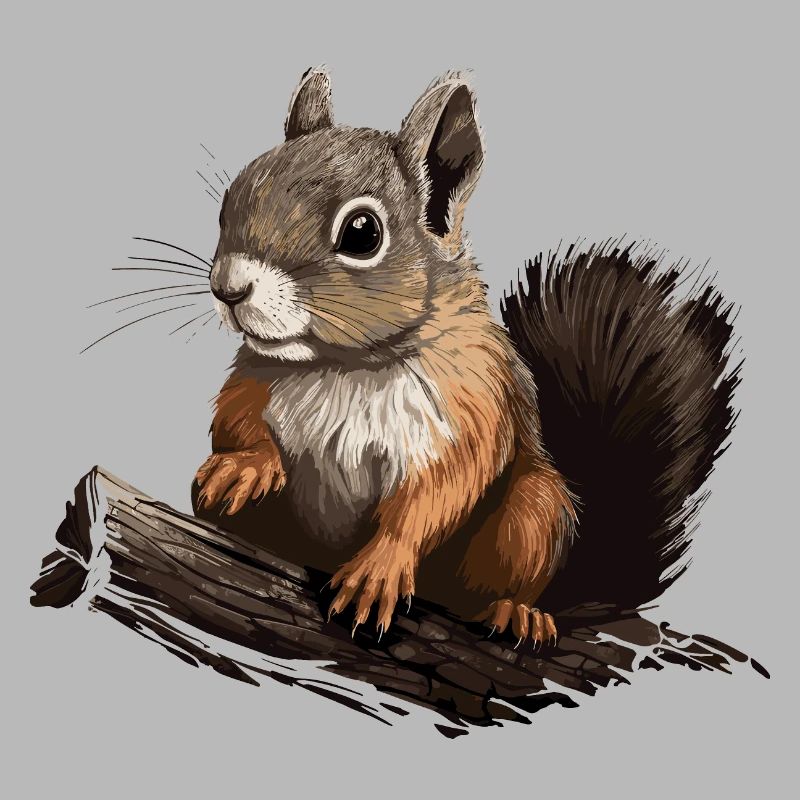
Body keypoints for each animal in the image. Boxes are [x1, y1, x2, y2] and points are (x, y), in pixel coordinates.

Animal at [191, 67, 738, 646]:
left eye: (362, 233)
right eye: (230, 198)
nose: (229, 288)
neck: (345, 365)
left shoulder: (469, 404)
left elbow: (440, 491)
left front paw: (380, 568)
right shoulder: (255, 376)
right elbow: (235, 418)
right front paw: (246, 466)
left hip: (536, 511)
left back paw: (517, 612)